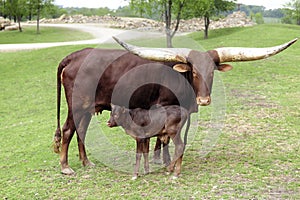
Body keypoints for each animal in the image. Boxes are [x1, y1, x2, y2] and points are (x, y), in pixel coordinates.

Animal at [54, 36, 298, 174]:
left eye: (212, 72)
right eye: (194, 72)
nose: (204, 100)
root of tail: (75, 56)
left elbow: (162, 139)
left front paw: (161, 162)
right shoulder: (163, 107)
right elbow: (163, 140)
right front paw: (163, 163)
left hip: (87, 108)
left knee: (81, 130)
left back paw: (86, 163)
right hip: (76, 105)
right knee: (68, 130)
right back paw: (65, 167)